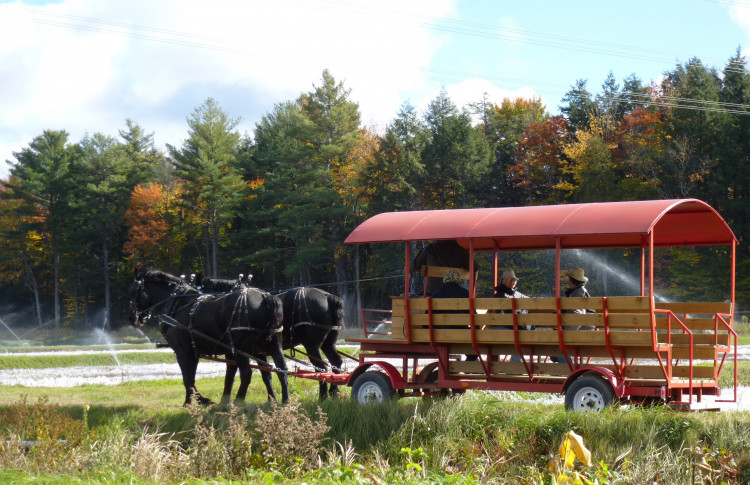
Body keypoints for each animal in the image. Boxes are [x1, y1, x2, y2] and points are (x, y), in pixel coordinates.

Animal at [129, 270, 288, 402]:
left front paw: (194, 402)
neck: (179, 304)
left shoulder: (183, 352)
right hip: (270, 345)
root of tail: (265, 296)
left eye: (133, 291)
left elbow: (188, 378)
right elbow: (201, 378)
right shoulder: (198, 352)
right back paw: (284, 401)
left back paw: (239, 401)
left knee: (247, 373)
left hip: (242, 347)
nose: (133, 318)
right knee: (281, 370)